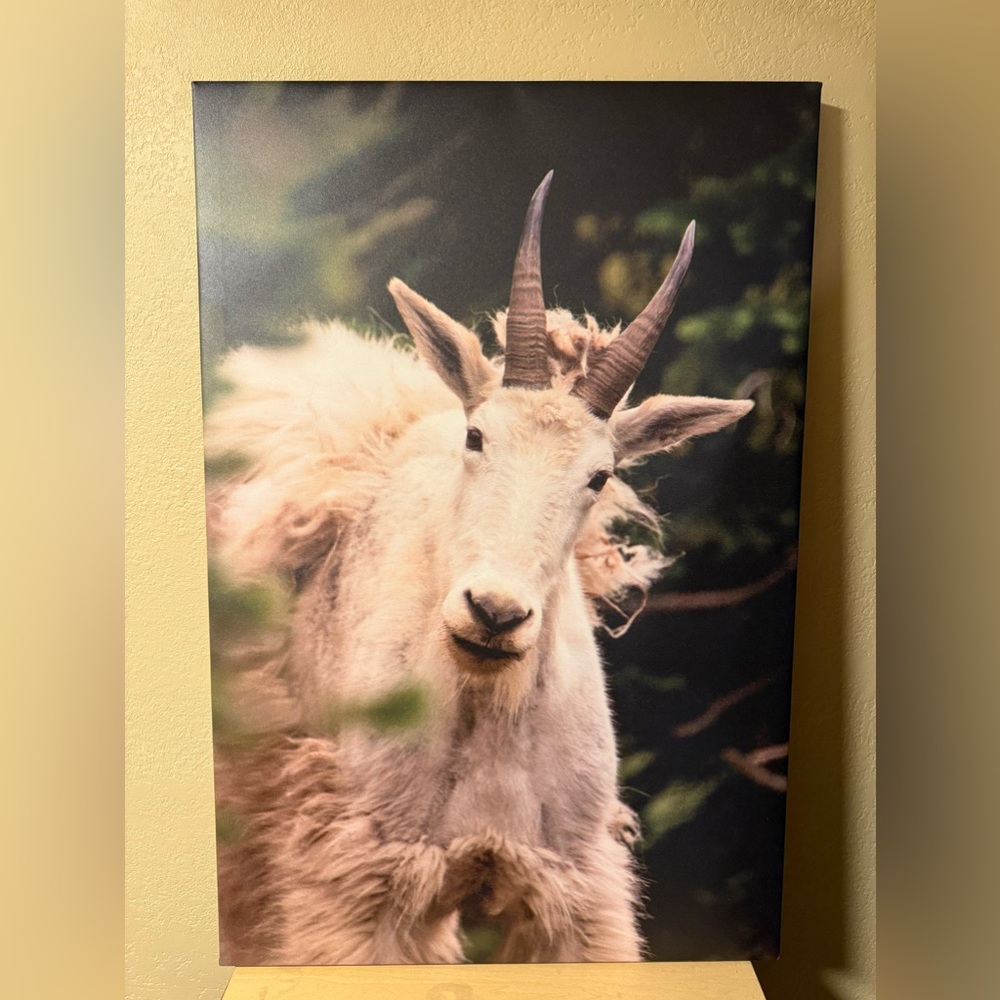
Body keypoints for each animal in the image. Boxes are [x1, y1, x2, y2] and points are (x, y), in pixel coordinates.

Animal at [205, 172, 753, 965]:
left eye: (599, 476)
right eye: (476, 436)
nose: (494, 613)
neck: (489, 714)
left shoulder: (574, 889)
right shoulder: (355, 880)